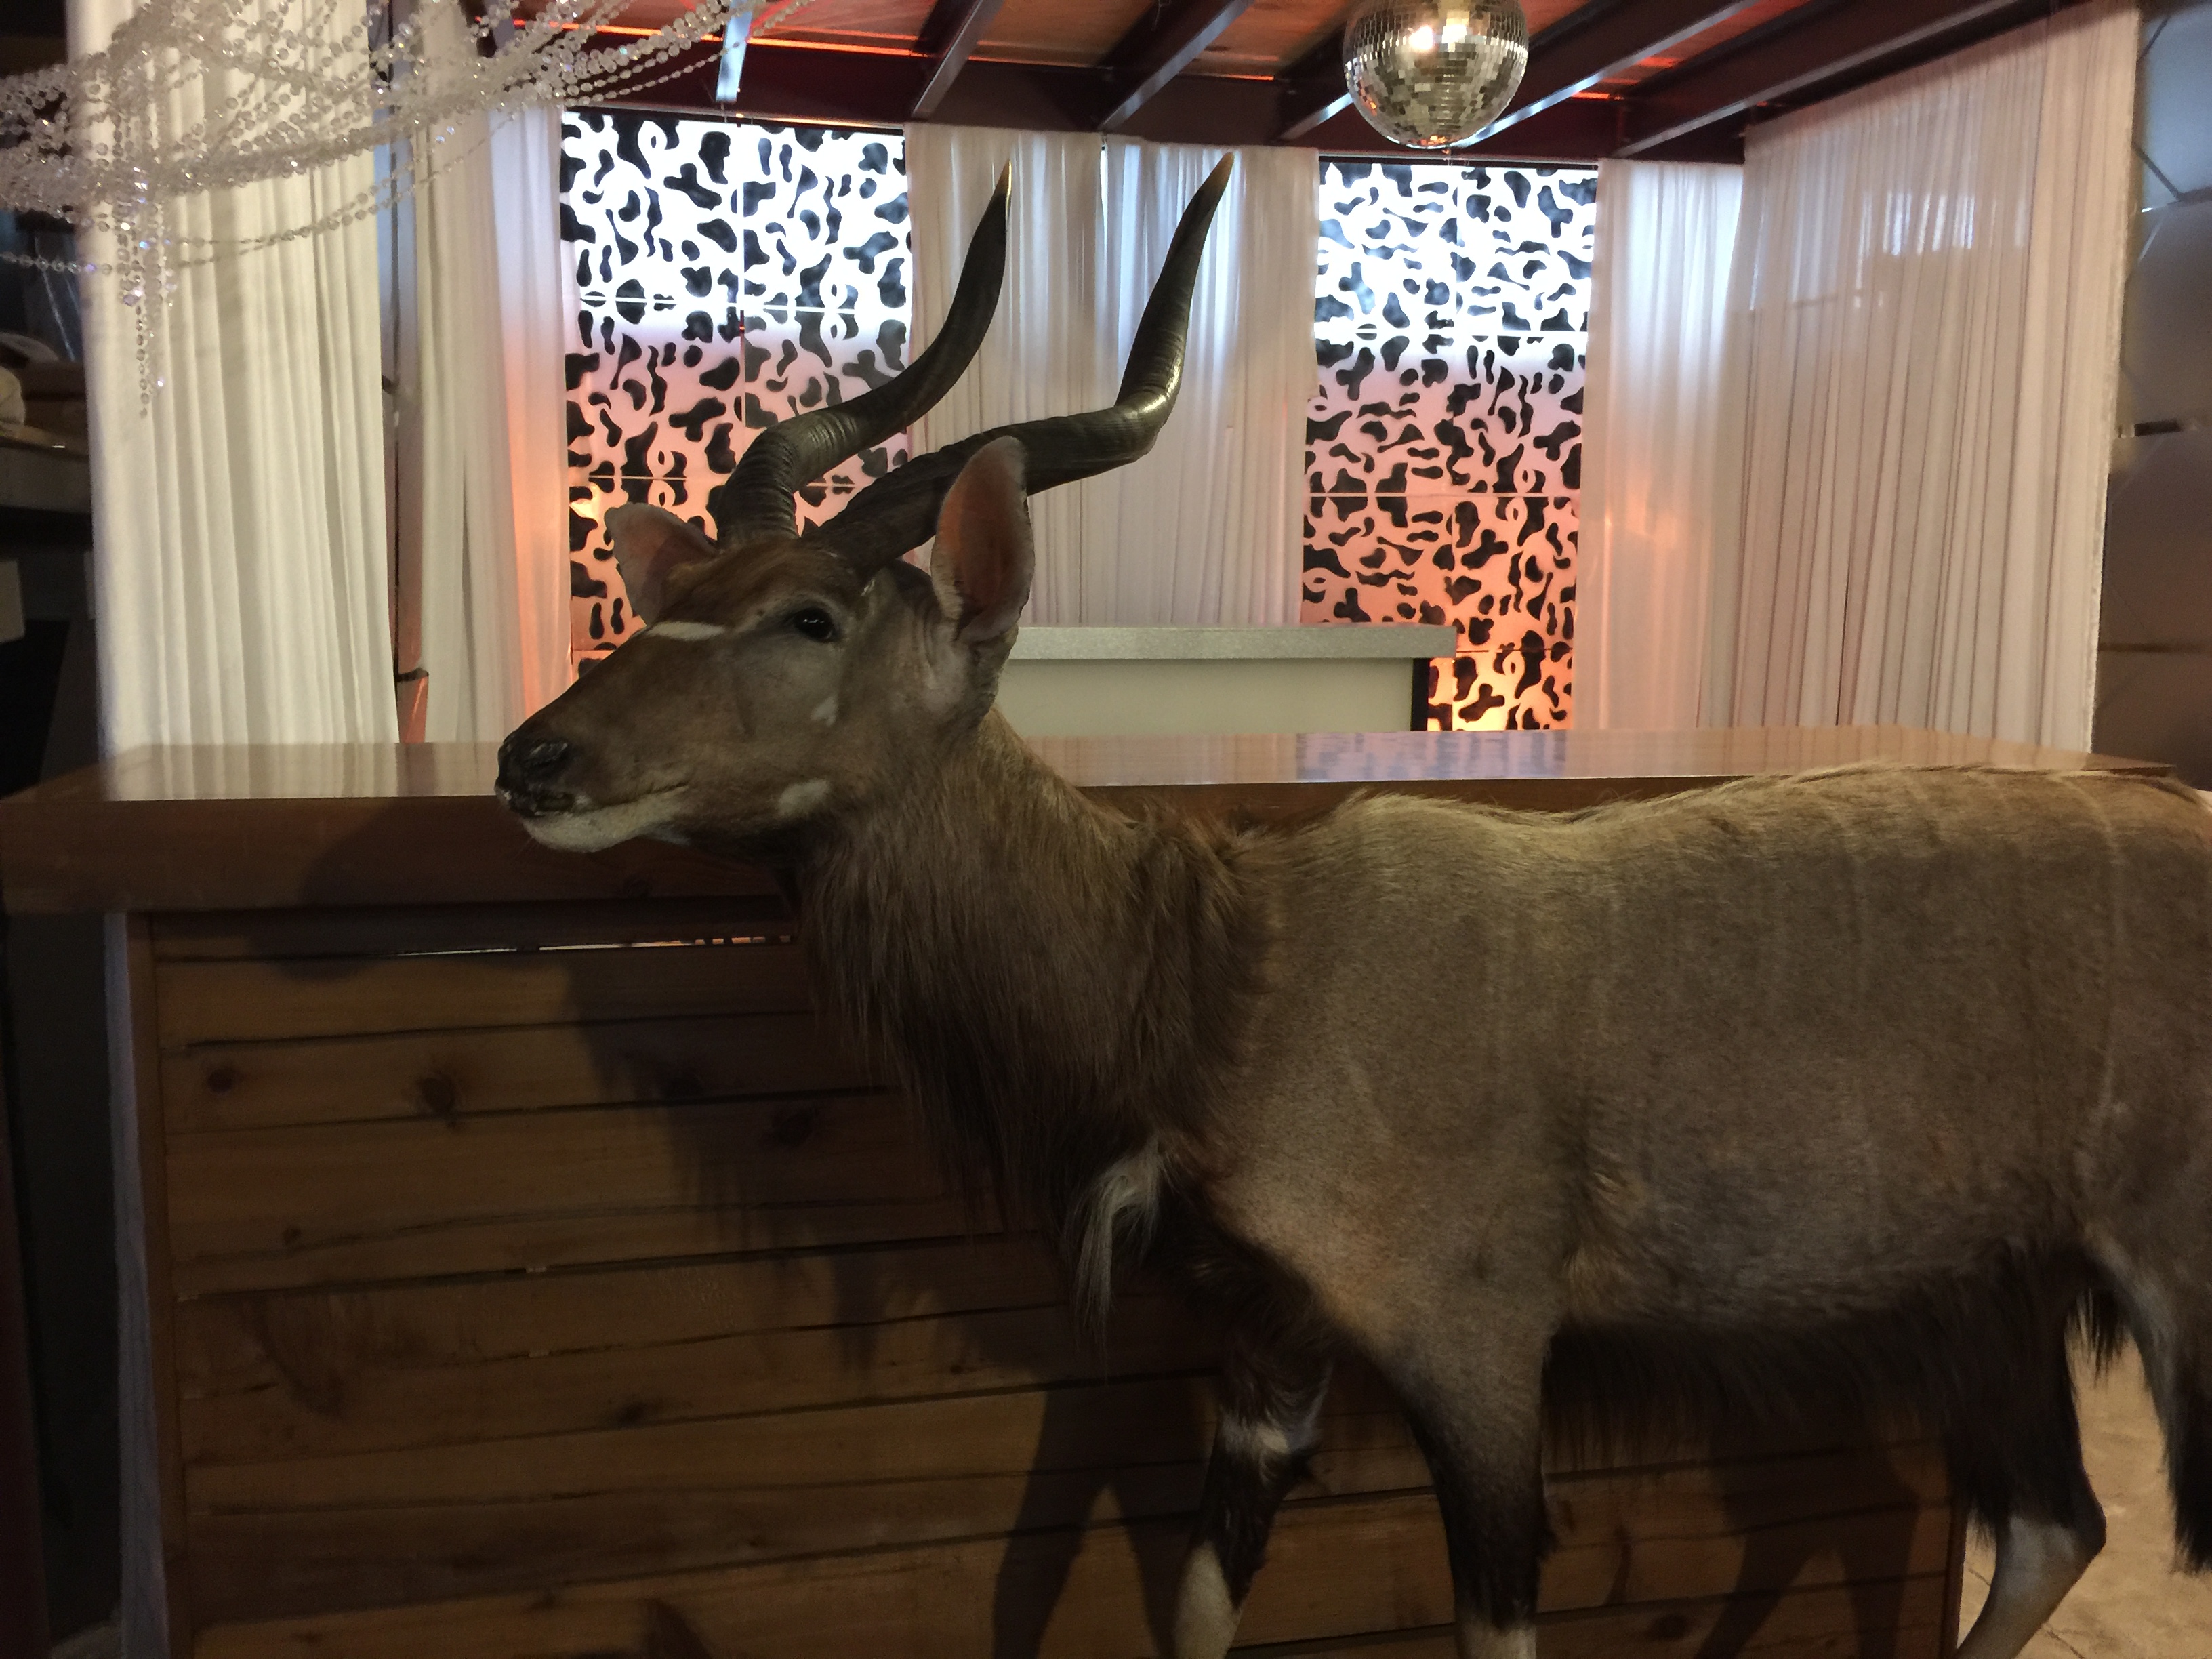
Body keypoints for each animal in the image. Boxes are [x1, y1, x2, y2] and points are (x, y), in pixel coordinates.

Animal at [497, 160, 2212, 1659]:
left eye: (810, 615)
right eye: (675, 596)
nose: (534, 758)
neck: (1225, 969)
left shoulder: (1480, 1360)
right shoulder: (1271, 1354)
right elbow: (1194, 1601)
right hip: (1989, 1305)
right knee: (2057, 1524)